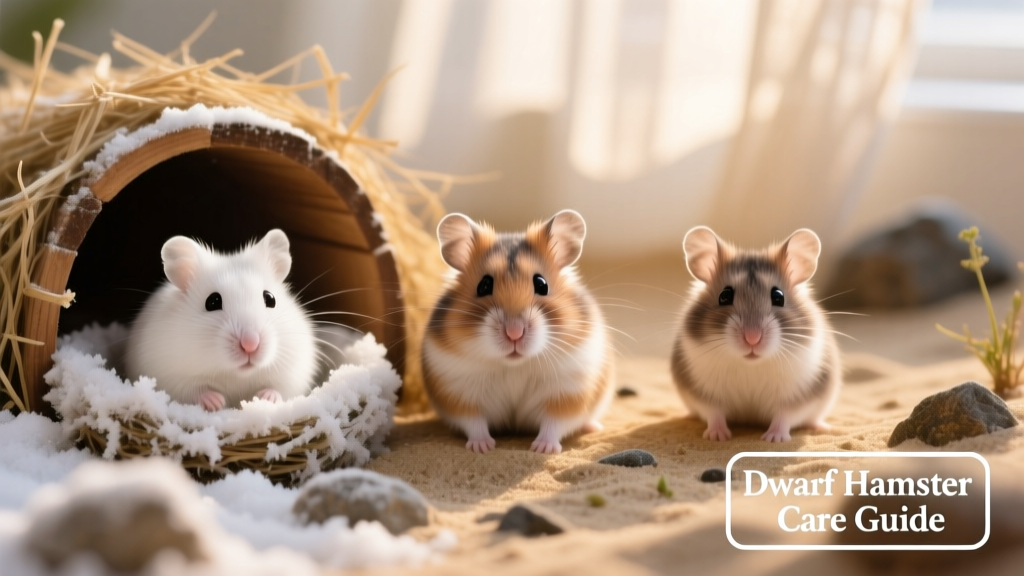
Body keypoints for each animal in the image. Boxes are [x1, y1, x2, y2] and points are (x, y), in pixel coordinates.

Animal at [125, 229, 318, 411]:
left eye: (270, 299)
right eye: (212, 302)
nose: (250, 344)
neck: (235, 374)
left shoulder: (293, 374)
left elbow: (280, 389)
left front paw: (263, 398)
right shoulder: (168, 376)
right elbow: (194, 390)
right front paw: (217, 402)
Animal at [422, 210, 614, 454]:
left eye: (542, 284)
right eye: (484, 285)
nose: (514, 333)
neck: (514, 365)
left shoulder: (567, 390)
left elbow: (554, 423)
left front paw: (542, 449)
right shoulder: (459, 390)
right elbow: (474, 422)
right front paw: (482, 448)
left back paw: (593, 427)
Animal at [670, 226, 841, 442]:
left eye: (778, 296)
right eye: (724, 296)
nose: (752, 338)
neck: (750, 365)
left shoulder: (795, 395)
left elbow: (784, 416)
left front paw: (773, 439)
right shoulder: (706, 393)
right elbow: (714, 413)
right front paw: (718, 438)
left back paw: (823, 427)